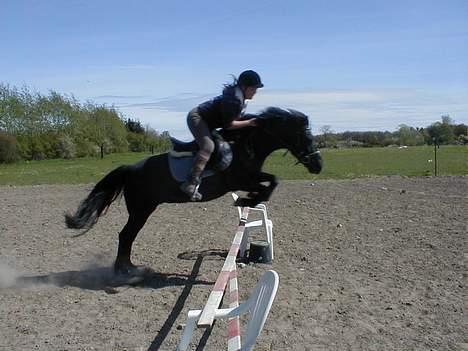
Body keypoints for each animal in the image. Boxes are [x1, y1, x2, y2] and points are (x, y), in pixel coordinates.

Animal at [66, 107, 322, 276]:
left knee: (127, 235)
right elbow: (266, 187)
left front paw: (248, 201)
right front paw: (246, 201)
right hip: (141, 210)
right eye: (305, 136)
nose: (318, 165)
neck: (244, 145)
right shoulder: (238, 180)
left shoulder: (252, 175)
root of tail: (131, 168)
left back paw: (128, 267)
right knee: (126, 235)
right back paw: (126, 270)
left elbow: (273, 181)